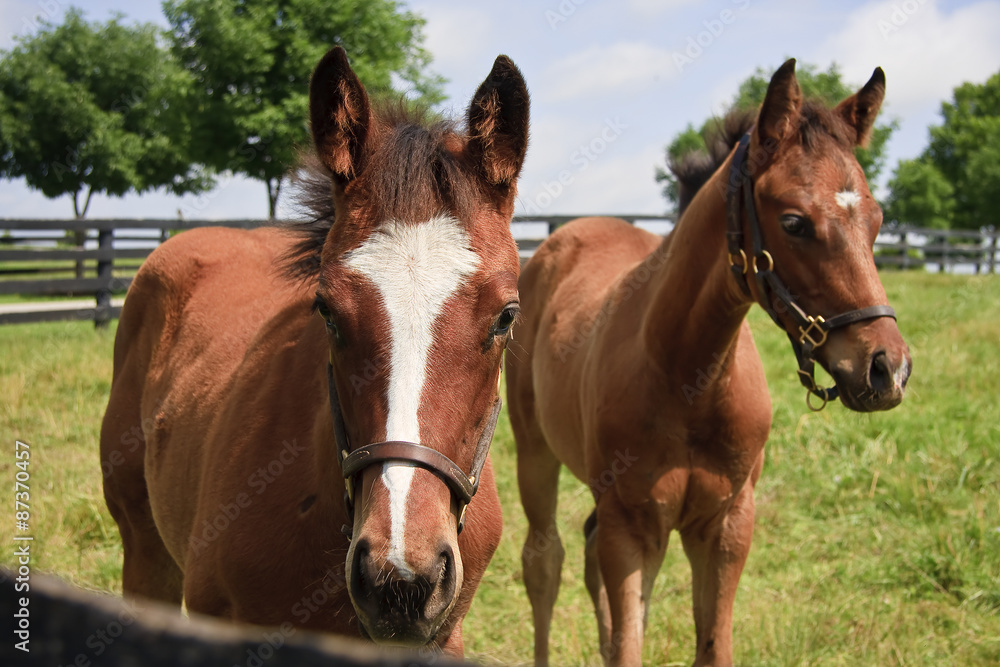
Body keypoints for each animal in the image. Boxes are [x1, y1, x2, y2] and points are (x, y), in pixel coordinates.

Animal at [508, 60, 916, 664]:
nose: (885, 368)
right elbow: (628, 642)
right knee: (544, 560)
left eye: (877, 218)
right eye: (794, 222)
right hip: (534, 449)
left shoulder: (727, 524)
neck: (687, 378)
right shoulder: (632, 526)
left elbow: (708, 646)